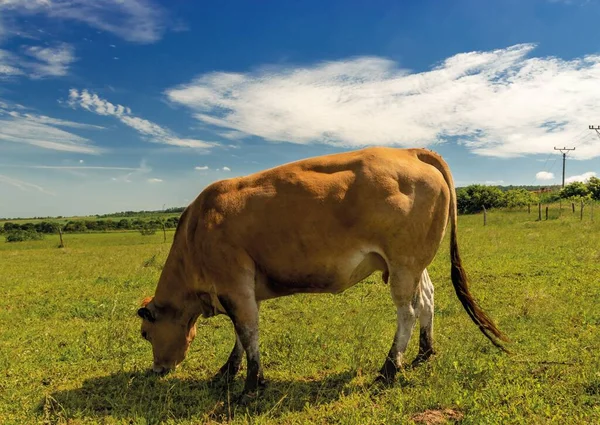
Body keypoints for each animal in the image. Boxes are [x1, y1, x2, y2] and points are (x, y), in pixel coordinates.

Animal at [138, 146, 508, 400]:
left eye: (145, 334)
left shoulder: (235, 285)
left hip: (403, 265)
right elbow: (240, 336)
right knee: (428, 299)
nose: (157, 370)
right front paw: (227, 372)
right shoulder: (240, 291)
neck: (196, 231)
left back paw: (389, 369)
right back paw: (423, 354)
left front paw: (250, 386)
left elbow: (247, 332)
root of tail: (407, 151)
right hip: (414, 263)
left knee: (409, 311)